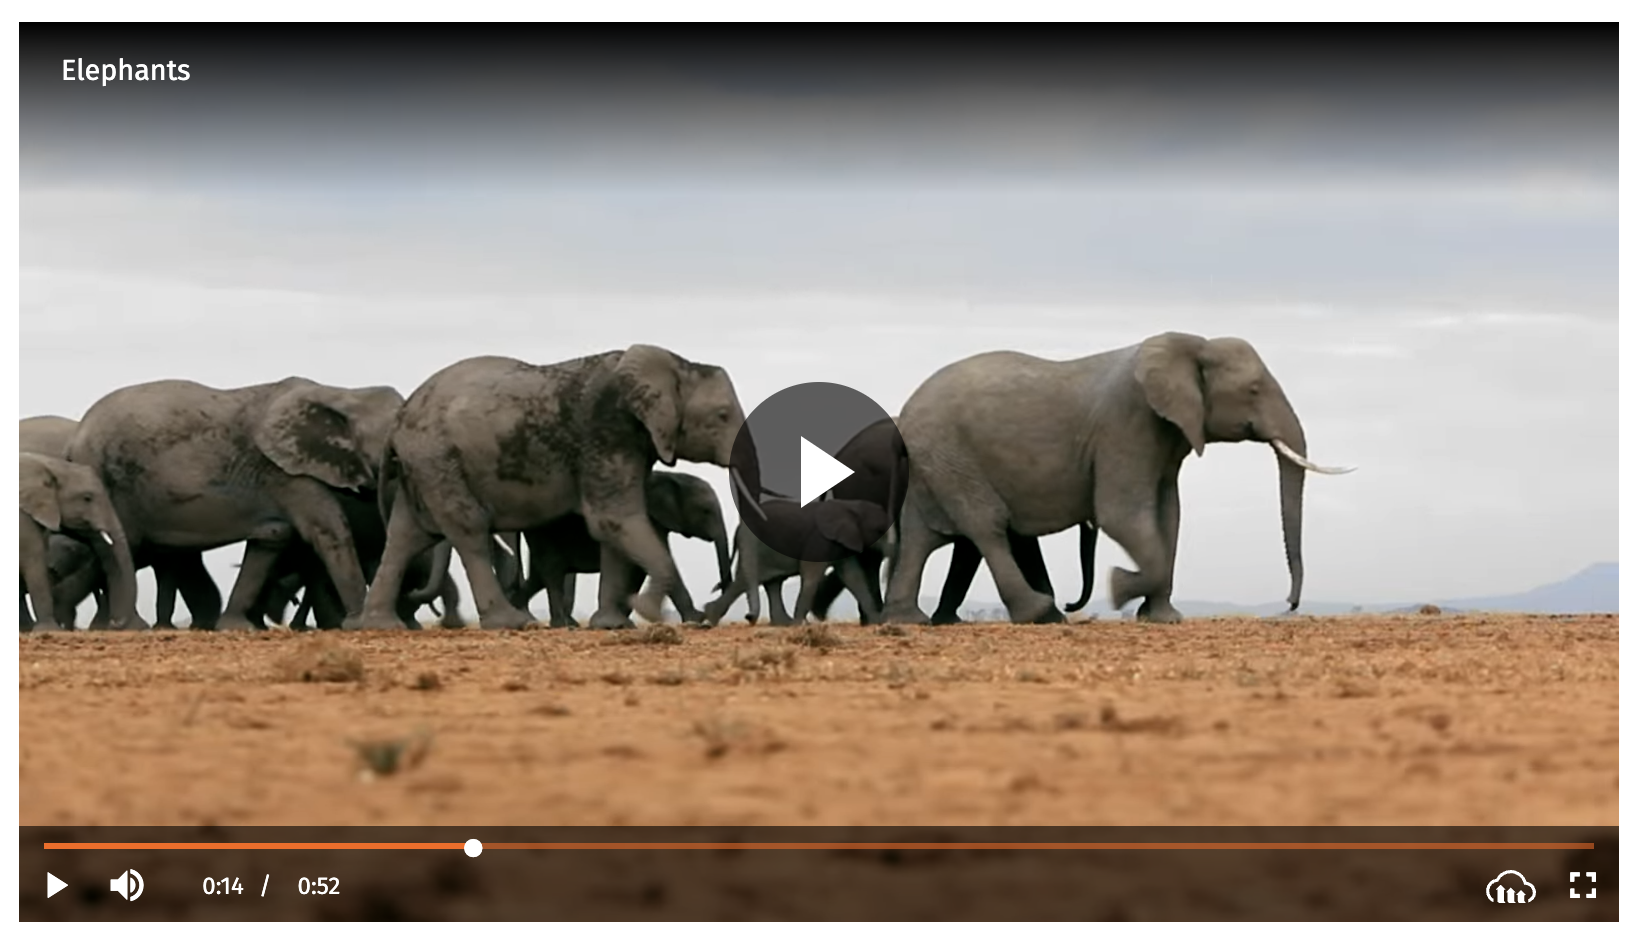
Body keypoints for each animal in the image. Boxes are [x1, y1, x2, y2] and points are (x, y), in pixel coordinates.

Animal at [66, 377, 407, 630]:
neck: (343, 394)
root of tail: (75, 440)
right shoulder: (286, 472)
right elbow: (328, 531)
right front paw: (358, 623)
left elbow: (273, 538)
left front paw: (237, 627)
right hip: (111, 480)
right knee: (121, 550)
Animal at [510, 470, 733, 628]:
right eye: (705, 511)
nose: (716, 587)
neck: (673, 476)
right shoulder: (648, 519)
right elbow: (663, 562)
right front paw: (697, 620)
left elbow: (640, 571)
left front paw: (624, 620)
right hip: (544, 533)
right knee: (552, 570)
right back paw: (559, 624)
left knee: (539, 577)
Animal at [880, 332, 1351, 626]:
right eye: (1253, 390)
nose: (1290, 604)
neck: (1190, 346)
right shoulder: (1128, 423)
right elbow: (1124, 515)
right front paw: (1119, 586)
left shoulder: (1167, 435)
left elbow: (1168, 516)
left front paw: (1162, 619)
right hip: (949, 454)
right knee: (987, 525)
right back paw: (1042, 614)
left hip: (933, 462)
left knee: (921, 536)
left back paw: (907, 620)